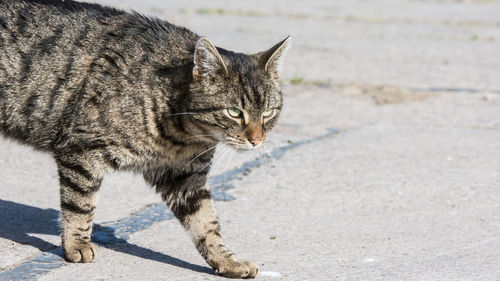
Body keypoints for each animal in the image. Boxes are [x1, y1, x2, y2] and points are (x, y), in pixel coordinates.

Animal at [0, 0, 290, 276]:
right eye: (234, 112)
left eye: (268, 112)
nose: (257, 140)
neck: (182, 134)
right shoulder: (81, 152)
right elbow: (81, 206)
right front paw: (76, 245)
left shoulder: (186, 177)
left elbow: (206, 223)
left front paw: (226, 261)